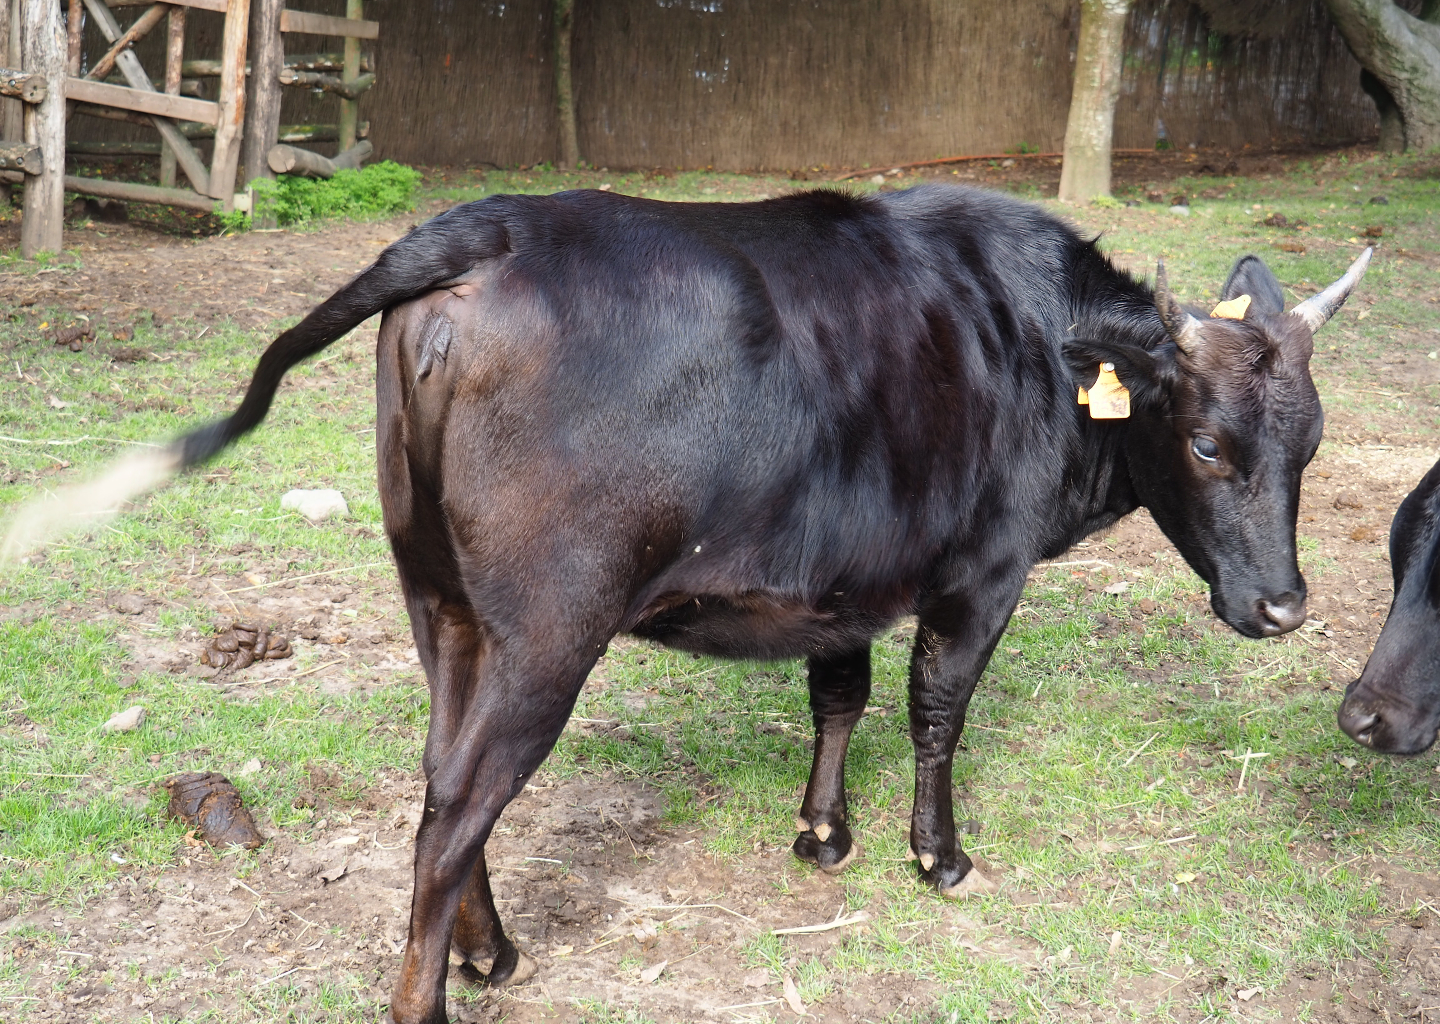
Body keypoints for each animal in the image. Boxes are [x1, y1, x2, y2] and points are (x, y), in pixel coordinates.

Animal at [2, 185, 1370, 1024]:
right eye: (1205, 444)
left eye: (1308, 443)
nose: (1284, 608)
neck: (1026, 334)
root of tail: (490, 226)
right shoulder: (982, 572)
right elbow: (935, 710)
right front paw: (939, 854)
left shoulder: (844, 580)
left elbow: (839, 696)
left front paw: (822, 833)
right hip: (549, 627)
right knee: (456, 807)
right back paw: (435, 993)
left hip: (441, 602)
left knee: (443, 777)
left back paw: (491, 950)